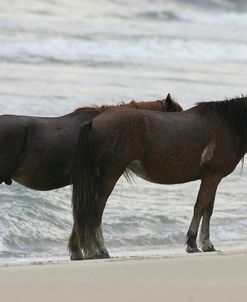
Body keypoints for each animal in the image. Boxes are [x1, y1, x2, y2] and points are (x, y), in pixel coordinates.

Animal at [71, 95, 247, 260]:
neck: (225, 125)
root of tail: (93, 122)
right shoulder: (211, 177)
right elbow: (200, 207)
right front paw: (192, 244)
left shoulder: (213, 178)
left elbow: (208, 209)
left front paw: (207, 244)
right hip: (110, 176)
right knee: (94, 210)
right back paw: (99, 249)